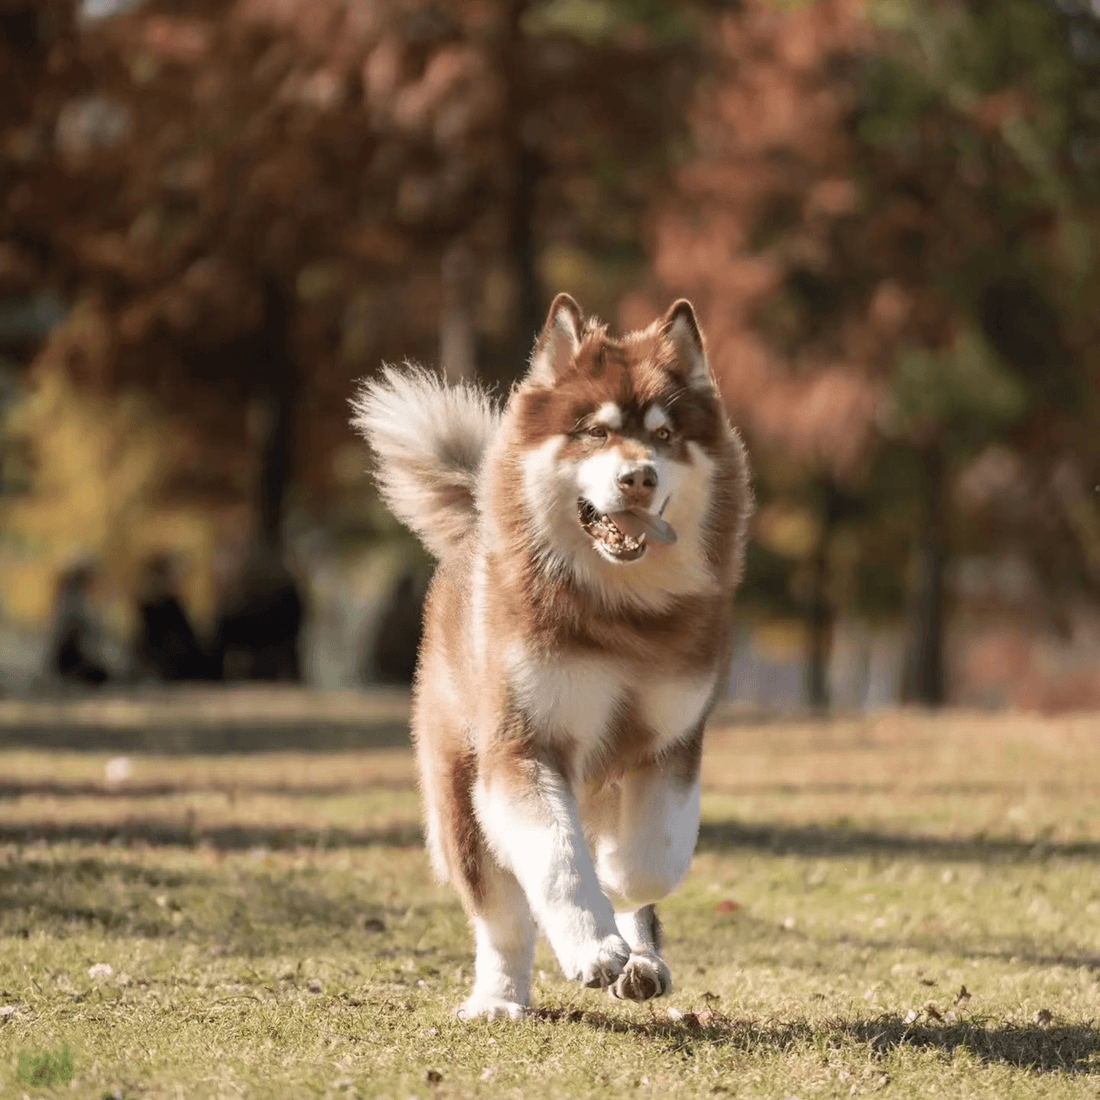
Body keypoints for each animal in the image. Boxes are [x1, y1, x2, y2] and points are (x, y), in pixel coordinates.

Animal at [349, 294, 748, 1020]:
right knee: (501, 915)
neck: (620, 612)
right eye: (594, 432)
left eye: (665, 436)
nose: (638, 476)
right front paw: (592, 947)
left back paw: (642, 960)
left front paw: (620, 897)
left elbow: (649, 861)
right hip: (458, 788)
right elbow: (558, 861)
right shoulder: (522, 744)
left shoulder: (673, 741)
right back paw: (500, 996)